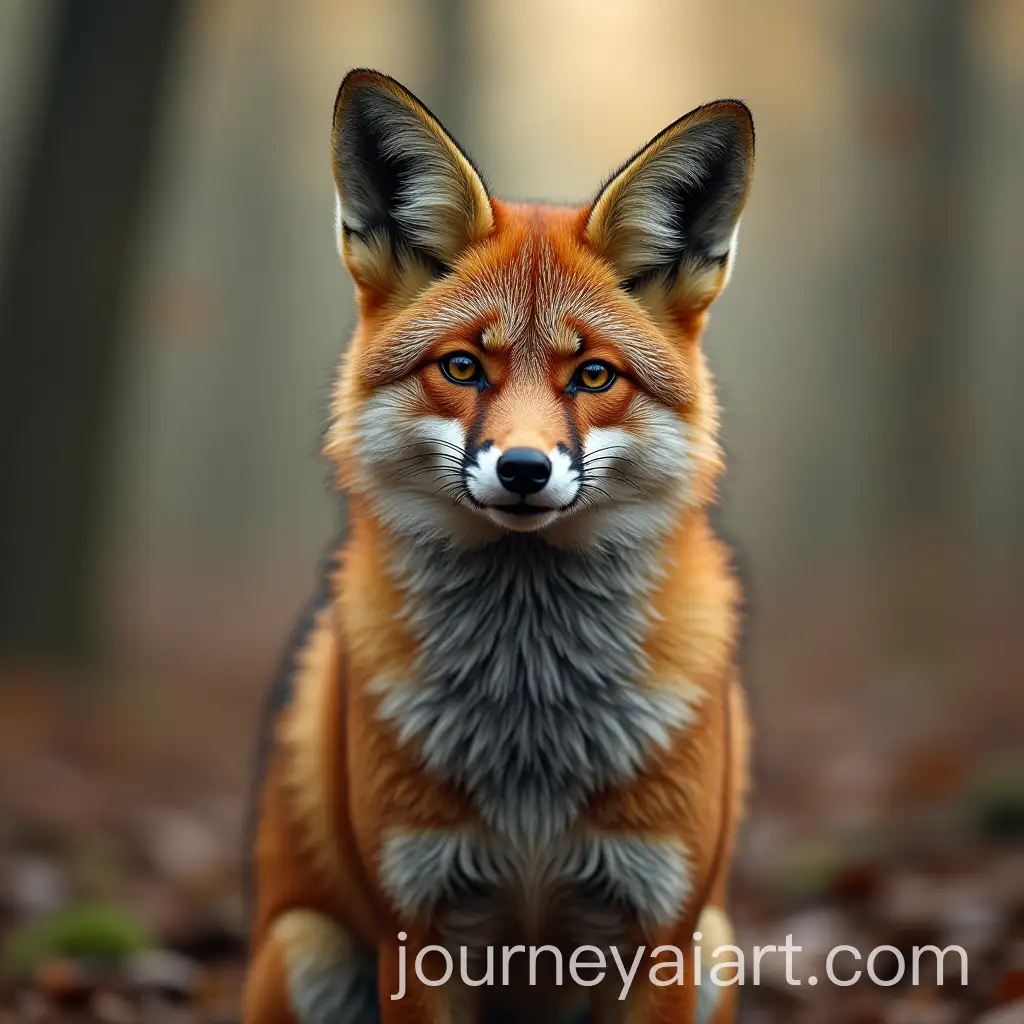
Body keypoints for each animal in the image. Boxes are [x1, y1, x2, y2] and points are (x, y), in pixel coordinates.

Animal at [243, 68, 754, 1024]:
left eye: (593, 375)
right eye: (462, 368)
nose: (523, 469)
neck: (531, 754)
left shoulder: (662, 933)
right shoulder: (415, 930)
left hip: (716, 946)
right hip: (309, 951)